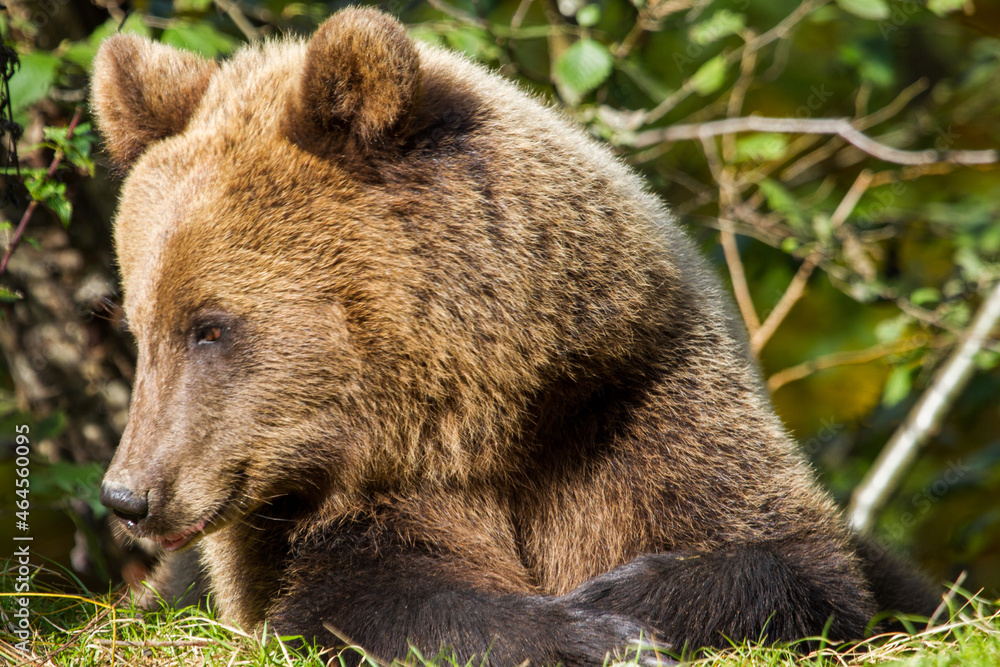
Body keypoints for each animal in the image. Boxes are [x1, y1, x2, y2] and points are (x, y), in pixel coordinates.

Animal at [90, 7, 938, 665]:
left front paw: (628, 599)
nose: (129, 493)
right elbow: (366, 597)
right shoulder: (339, 501)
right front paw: (591, 630)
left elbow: (796, 560)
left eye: (209, 326)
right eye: (139, 324)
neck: (486, 410)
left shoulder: (630, 404)